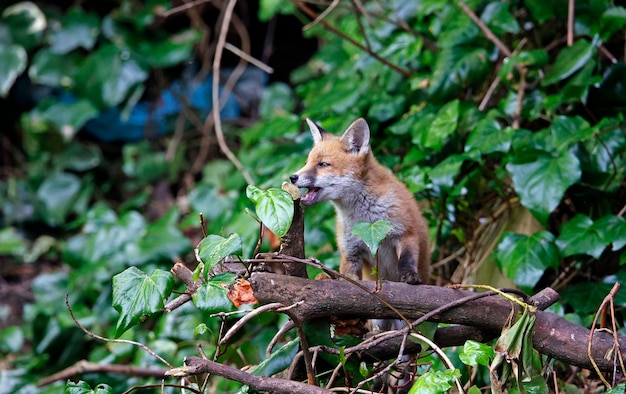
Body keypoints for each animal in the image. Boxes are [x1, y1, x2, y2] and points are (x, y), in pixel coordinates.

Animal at [288, 117, 428, 286]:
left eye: (323, 164)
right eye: (306, 162)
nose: (292, 177)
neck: (367, 220)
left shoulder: (406, 232)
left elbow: (407, 259)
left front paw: (410, 275)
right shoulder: (350, 251)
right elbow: (348, 277)